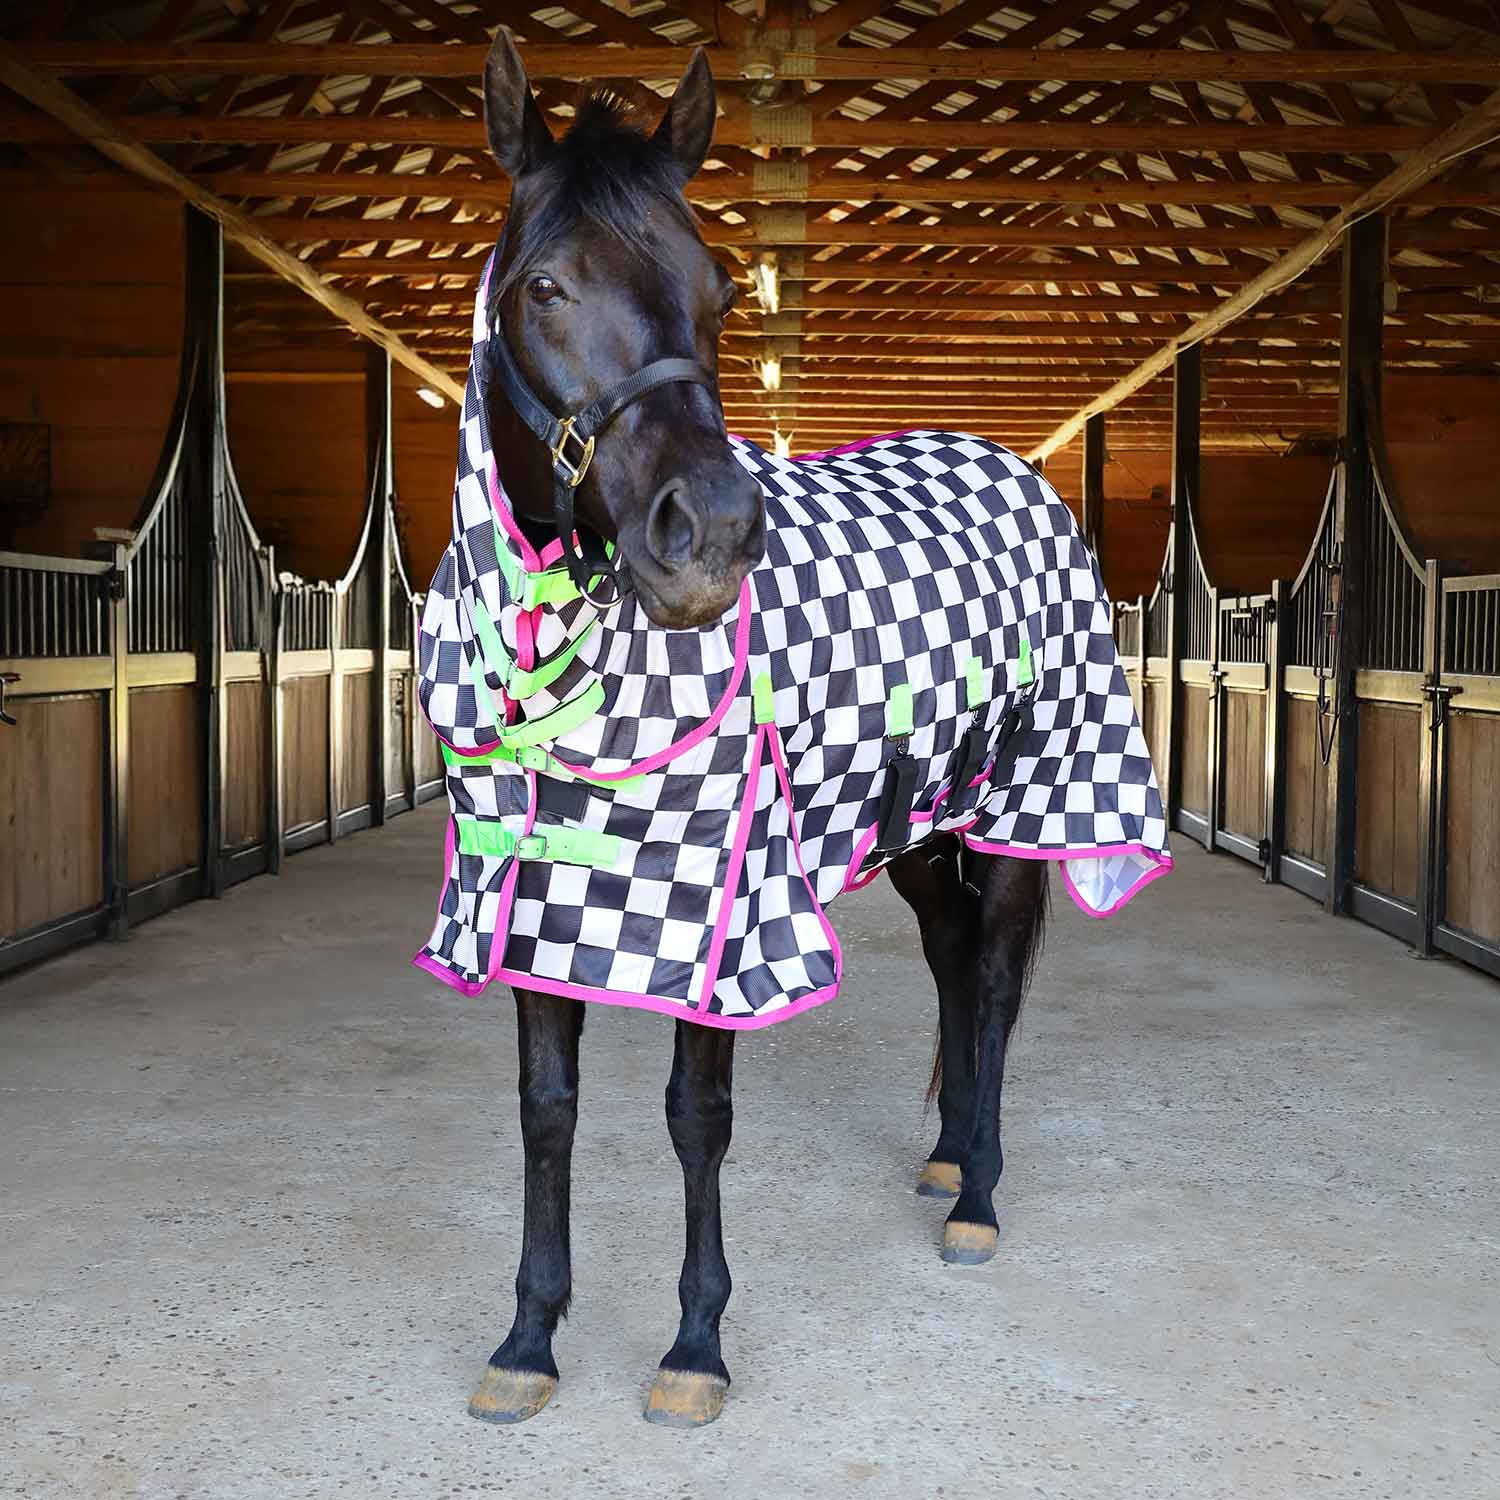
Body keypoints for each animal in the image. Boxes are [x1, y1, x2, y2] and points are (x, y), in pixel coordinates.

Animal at [414, 30, 1169, 1429]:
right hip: (916, 823)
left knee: (992, 978)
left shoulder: (720, 908)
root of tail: (1015, 467)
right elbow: (547, 1111)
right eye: (543, 286)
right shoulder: (528, 895)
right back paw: (944, 1159)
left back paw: (978, 1198)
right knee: (950, 967)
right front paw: (528, 1340)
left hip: (1022, 811)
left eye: (716, 291)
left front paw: (694, 1347)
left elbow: (693, 1116)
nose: (709, 535)